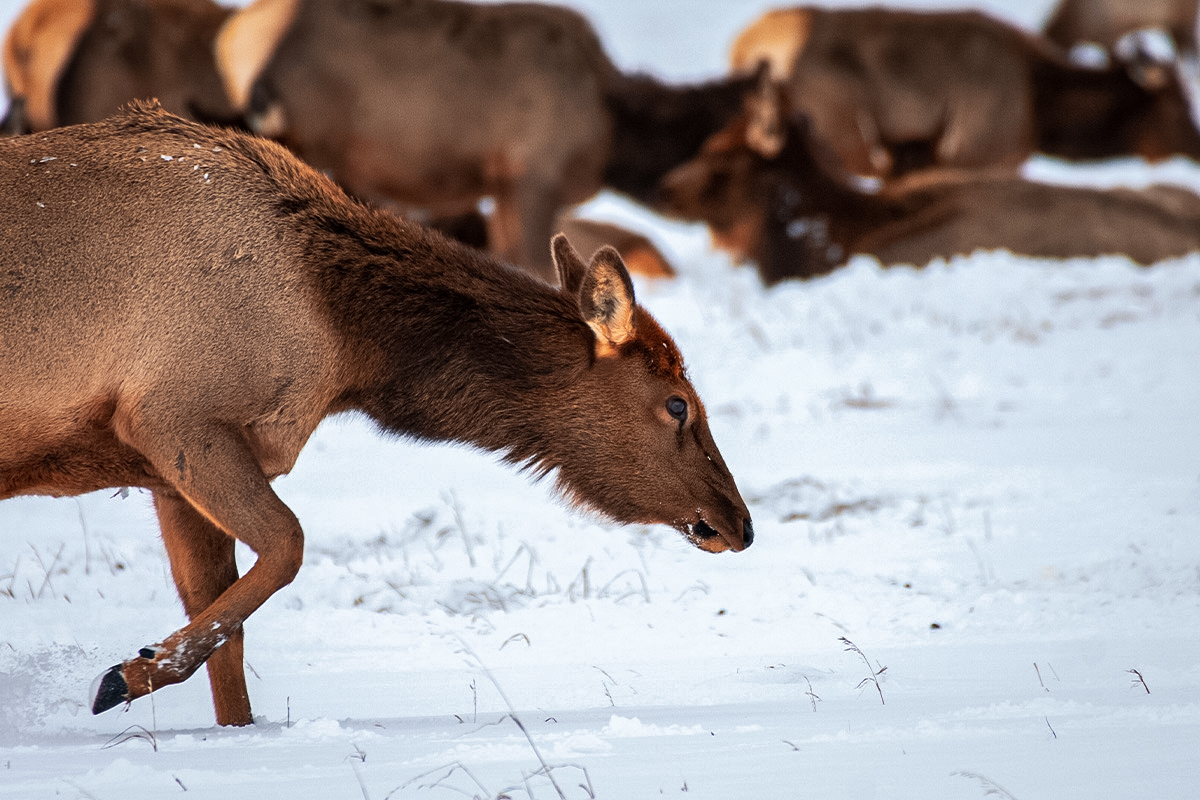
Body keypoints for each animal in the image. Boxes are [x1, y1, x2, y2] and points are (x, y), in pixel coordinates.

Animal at [0, 103, 748, 729]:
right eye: (678, 404)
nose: (739, 522)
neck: (342, 335)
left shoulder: (165, 470)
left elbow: (226, 634)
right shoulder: (173, 416)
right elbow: (289, 545)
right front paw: (120, 676)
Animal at [213, 0, 758, 284]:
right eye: (732, 153)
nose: (741, 249)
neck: (612, 133)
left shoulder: (504, 185)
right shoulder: (535, 172)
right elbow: (538, 266)